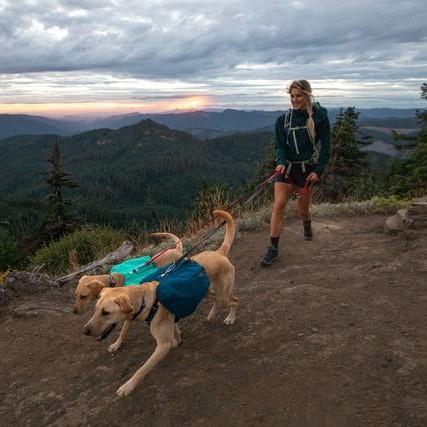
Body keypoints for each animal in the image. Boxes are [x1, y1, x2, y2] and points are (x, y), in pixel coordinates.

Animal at [83, 211, 237, 398]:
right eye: (96, 309)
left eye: (106, 312)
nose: (85, 331)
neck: (146, 299)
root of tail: (219, 252)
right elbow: (174, 335)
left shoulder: (163, 345)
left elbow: (142, 369)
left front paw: (127, 386)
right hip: (207, 292)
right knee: (219, 300)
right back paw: (212, 314)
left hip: (222, 294)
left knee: (235, 301)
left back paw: (230, 318)